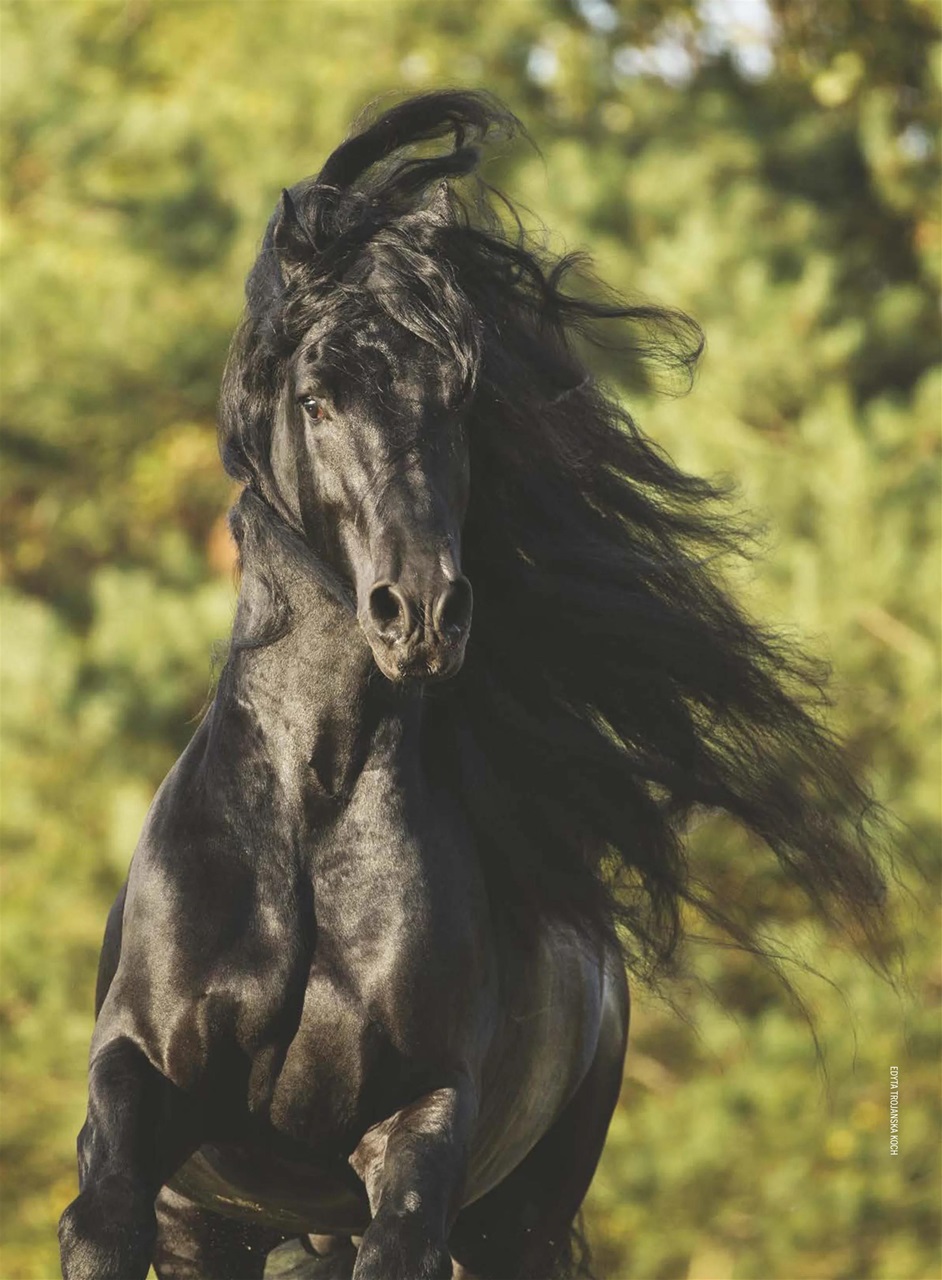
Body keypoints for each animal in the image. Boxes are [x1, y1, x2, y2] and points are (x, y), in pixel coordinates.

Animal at [58, 91, 887, 1280]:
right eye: (317, 398)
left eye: (456, 401)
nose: (423, 612)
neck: (307, 815)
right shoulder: (142, 1094)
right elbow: (103, 1213)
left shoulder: (419, 1125)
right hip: (227, 1224)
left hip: (519, 1218)